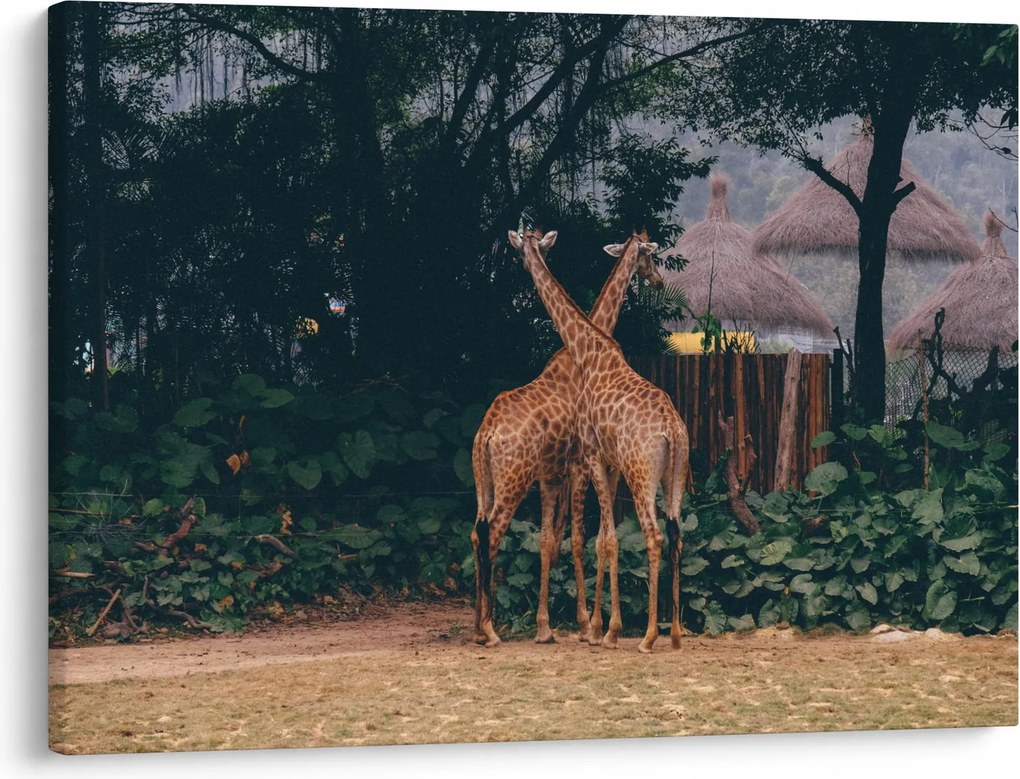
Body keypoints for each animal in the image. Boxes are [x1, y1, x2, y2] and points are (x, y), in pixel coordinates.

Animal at [471, 235, 664, 647]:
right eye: (650, 256)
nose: (658, 281)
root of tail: (486, 433)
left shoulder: (552, 474)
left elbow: (550, 541)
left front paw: (549, 627)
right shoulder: (577, 466)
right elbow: (579, 541)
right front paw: (587, 625)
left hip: (486, 484)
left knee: (476, 535)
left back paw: (477, 625)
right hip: (513, 481)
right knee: (491, 535)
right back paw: (490, 631)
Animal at [507, 228, 690, 653]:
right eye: (649, 256)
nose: (658, 282)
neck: (589, 351)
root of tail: (673, 431)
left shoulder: (593, 457)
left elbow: (600, 540)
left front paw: (601, 628)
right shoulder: (603, 463)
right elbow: (599, 539)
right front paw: (599, 626)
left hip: (637, 476)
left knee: (652, 536)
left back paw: (646, 636)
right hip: (670, 477)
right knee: (675, 535)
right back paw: (671, 633)